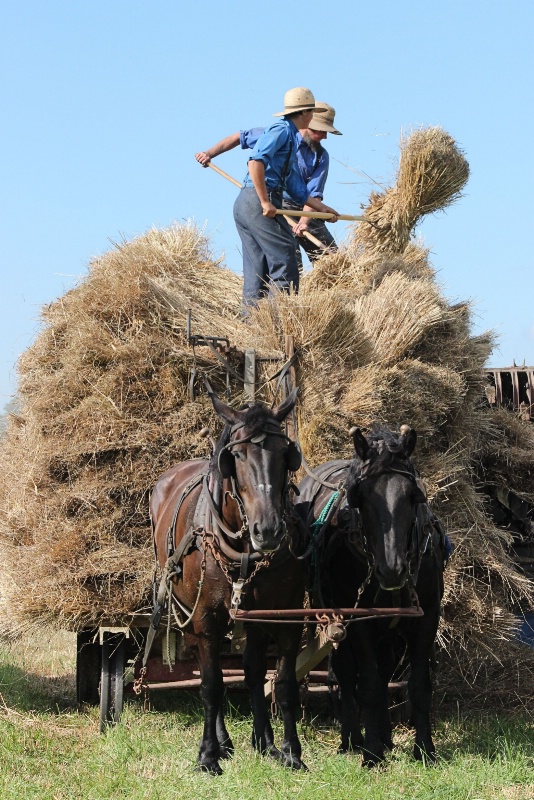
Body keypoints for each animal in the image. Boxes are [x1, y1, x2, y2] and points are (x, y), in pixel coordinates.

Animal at [151, 388, 310, 776]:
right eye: (235, 456)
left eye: (285, 453)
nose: (268, 530)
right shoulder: (206, 618)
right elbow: (212, 684)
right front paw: (208, 754)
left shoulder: (285, 615)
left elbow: (283, 683)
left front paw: (290, 751)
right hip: (187, 611)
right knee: (209, 667)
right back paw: (223, 742)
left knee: (252, 669)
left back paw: (264, 741)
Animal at [298, 428, 448, 764]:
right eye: (362, 497)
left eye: (412, 495)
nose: (391, 570)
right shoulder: (358, 622)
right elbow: (366, 685)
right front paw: (371, 754)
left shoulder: (427, 617)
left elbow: (419, 686)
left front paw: (425, 749)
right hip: (333, 620)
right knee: (345, 675)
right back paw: (352, 740)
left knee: (385, 669)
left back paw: (385, 736)